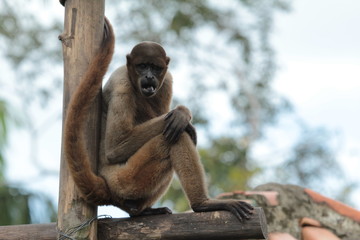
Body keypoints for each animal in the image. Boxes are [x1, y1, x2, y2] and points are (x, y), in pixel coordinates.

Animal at [63, 16, 253, 221]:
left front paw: (182, 114)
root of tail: (107, 185)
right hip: (125, 179)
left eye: (155, 68)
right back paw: (201, 204)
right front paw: (182, 115)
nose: (148, 76)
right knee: (175, 137)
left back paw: (141, 210)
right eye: (142, 66)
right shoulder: (122, 83)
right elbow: (116, 148)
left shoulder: (166, 79)